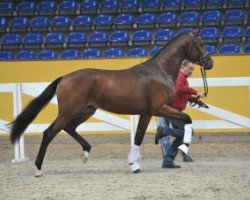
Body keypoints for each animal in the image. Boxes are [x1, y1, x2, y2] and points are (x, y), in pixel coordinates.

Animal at [9, 28, 213, 176]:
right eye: (200, 43)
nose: (210, 63)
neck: (159, 72)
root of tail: (64, 78)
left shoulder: (146, 113)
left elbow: (139, 137)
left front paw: (133, 165)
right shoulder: (159, 108)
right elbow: (187, 119)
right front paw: (183, 147)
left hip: (86, 110)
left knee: (70, 128)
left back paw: (86, 153)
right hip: (68, 111)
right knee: (49, 133)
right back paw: (38, 169)